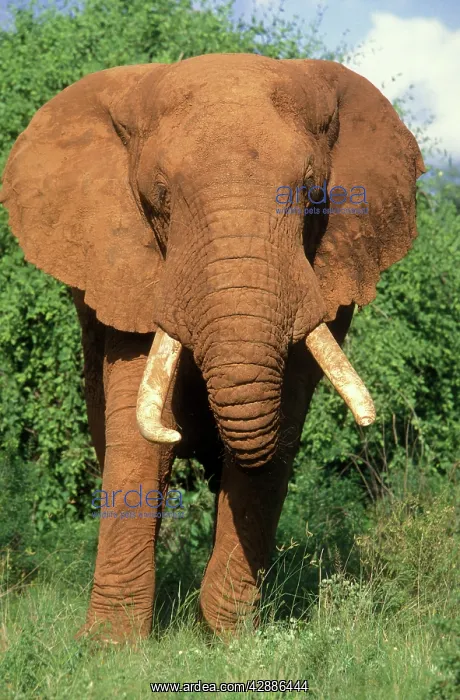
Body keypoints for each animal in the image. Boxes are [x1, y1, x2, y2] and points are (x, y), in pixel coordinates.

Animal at [0, 53, 425, 642]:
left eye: (312, 191)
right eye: (159, 196)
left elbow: (281, 425)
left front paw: (231, 639)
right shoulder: (129, 266)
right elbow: (139, 441)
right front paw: (110, 648)